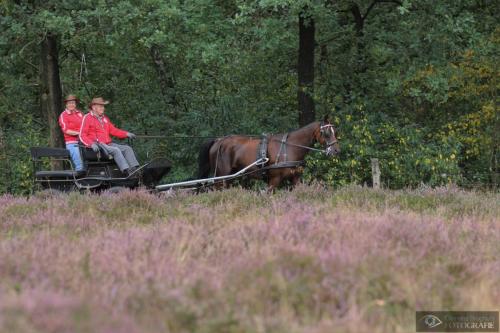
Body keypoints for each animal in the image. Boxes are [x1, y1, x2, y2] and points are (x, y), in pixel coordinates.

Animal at [197, 117, 338, 189]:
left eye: (334, 131)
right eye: (326, 133)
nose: (336, 150)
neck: (290, 148)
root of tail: (218, 141)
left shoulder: (295, 179)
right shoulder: (274, 180)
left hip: (229, 177)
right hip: (221, 176)